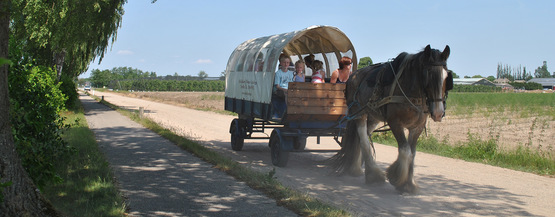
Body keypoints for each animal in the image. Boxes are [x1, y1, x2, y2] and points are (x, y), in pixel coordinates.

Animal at [330, 44, 452, 193]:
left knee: (362, 137)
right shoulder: (395, 123)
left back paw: (357, 168)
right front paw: (398, 179)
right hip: (359, 113)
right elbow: (405, 151)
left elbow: (413, 154)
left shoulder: (416, 128)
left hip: (373, 116)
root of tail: (353, 75)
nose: (438, 113)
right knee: (363, 138)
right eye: (428, 74)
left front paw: (409, 184)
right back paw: (373, 175)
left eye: (447, 77)